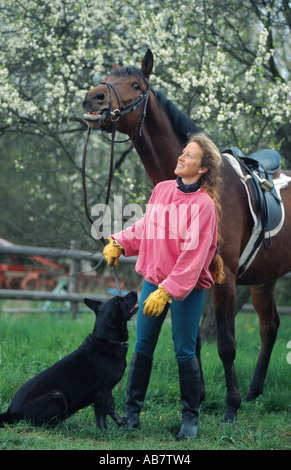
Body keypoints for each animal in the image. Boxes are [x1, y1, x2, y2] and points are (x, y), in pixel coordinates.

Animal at [0, 292, 139, 432]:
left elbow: (111, 408)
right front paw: (104, 431)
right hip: (57, 395)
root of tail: (11, 412)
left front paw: (121, 422)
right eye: (121, 299)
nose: (134, 292)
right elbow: (102, 414)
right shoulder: (102, 390)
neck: (107, 338)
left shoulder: (107, 389)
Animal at [82, 48, 291, 422]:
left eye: (136, 84)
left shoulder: (223, 278)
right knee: (269, 327)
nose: (95, 98)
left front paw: (230, 407)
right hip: (264, 278)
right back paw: (254, 392)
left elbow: (225, 344)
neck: (196, 187)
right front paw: (199, 396)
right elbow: (190, 339)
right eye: (108, 77)